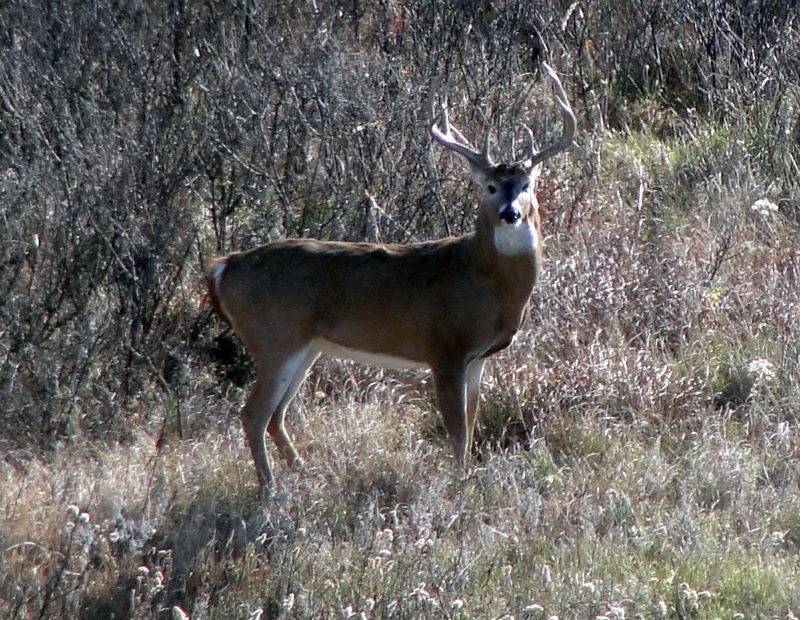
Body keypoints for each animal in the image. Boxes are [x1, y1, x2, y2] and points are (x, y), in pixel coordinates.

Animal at [206, 64, 576, 498]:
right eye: (489, 186)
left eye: (527, 185)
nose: (510, 213)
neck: (486, 282)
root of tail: (222, 266)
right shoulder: (444, 347)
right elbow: (456, 431)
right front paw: (459, 486)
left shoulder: (478, 358)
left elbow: (470, 424)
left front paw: (468, 479)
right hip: (275, 337)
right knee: (253, 414)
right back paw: (271, 491)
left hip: (306, 345)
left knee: (276, 415)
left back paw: (304, 474)